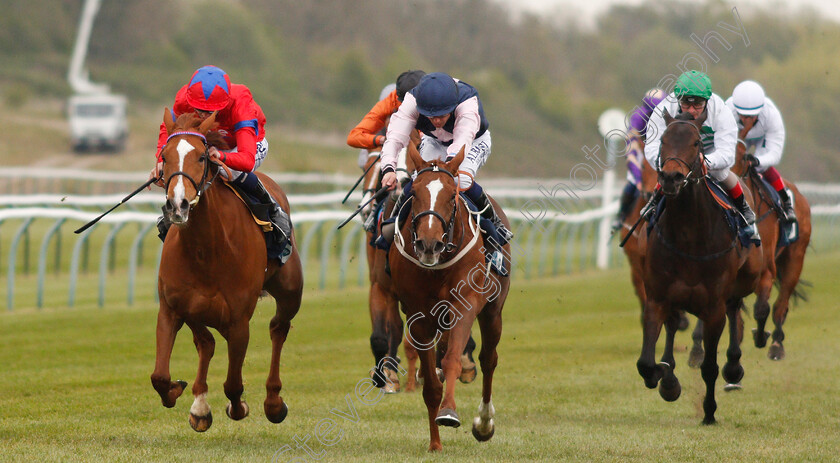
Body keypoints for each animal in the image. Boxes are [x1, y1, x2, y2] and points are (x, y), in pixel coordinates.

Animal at [149, 110, 304, 434]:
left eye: (201, 157)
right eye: (164, 156)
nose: (178, 205)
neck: (206, 249)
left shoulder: (238, 321)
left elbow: (233, 384)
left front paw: (239, 407)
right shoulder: (171, 308)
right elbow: (159, 376)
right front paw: (183, 394)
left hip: (290, 292)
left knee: (278, 328)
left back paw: (273, 402)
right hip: (196, 309)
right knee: (206, 343)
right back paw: (200, 405)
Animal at [388, 144, 512, 450]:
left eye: (450, 195)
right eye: (414, 192)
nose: (428, 244)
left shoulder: (464, 305)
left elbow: (453, 358)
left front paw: (449, 412)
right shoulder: (419, 317)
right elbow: (432, 384)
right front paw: (435, 443)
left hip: (492, 311)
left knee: (488, 360)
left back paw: (484, 423)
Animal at [640, 110, 764, 426]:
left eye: (696, 142)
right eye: (663, 140)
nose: (671, 177)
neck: (688, 235)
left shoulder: (713, 307)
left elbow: (710, 366)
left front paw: (709, 412)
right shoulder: (657, 297)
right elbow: (647, 363)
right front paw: (666, 379)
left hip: (744, 281)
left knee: (735, 308)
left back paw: (734, 365)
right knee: (673, 326)